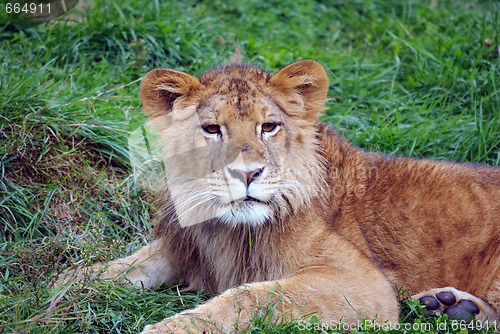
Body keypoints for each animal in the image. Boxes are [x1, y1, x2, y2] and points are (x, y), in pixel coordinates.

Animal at [61, 56, 500, 332]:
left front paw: (174, 328)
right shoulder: (192, 244)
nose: (246, 173)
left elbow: (252, 297)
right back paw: (450, 307)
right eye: (212, 129)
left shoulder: (364, 285)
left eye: (268, 127)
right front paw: (71, 281)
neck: (232, 231)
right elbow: (136, 263)